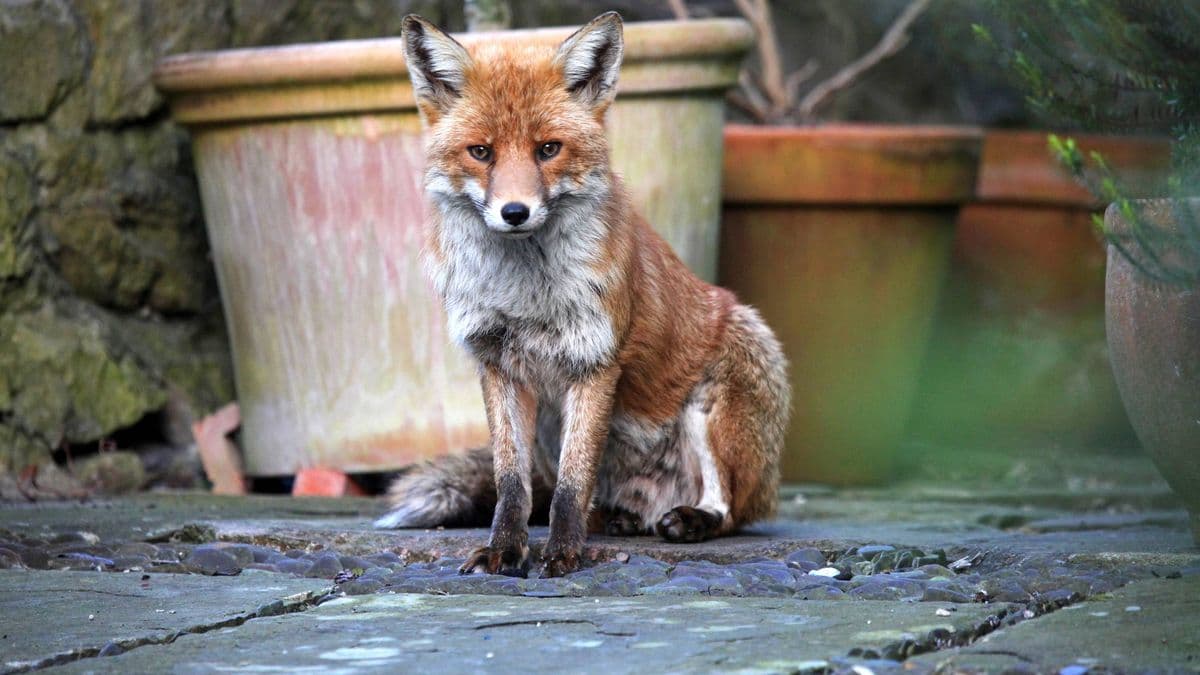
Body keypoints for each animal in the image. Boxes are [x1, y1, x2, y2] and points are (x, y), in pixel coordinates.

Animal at [374, 11, 790, 578]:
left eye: (548, 149)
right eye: (481, 152)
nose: (515, 212)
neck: (525, 294)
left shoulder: (595, 362)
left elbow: (572, 483)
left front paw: (564, 553)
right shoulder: (498, 365)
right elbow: (512, 485)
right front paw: (505, 550)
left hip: (725, 386)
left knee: (729, 507)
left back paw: (689, 520)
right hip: (550, 426)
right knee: (578, 498)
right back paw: (617, 520)